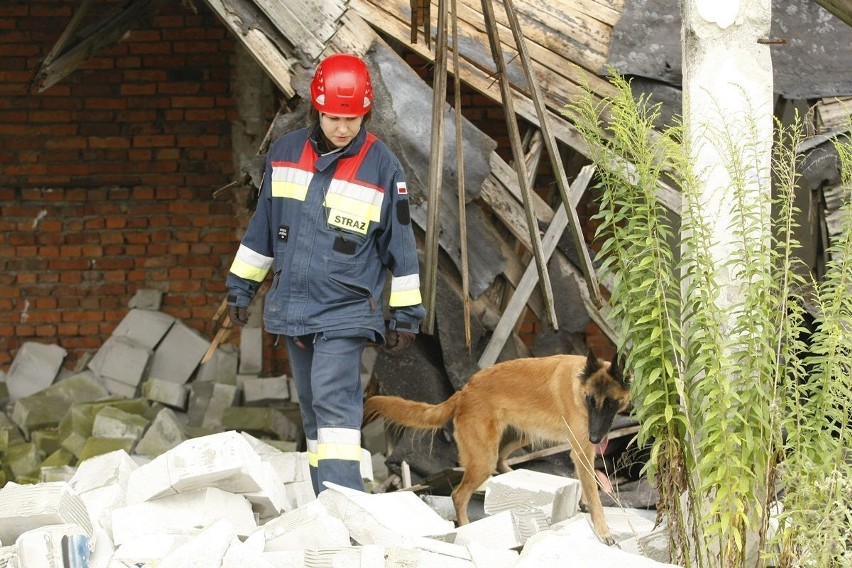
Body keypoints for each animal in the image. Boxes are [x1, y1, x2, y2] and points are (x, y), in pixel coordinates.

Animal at [362, 348, 628, 544]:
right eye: (590, 401)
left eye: (610, 404)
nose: (596, 438)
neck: (579, 383)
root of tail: (464, 391)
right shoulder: (582, 447)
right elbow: (593, 492)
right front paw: (603, 530)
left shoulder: (582, 448)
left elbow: (584, 480)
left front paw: (583, 504)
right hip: (484, 460)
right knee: (459, 495)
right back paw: (466, 527)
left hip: (522, 435)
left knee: (501, 461)